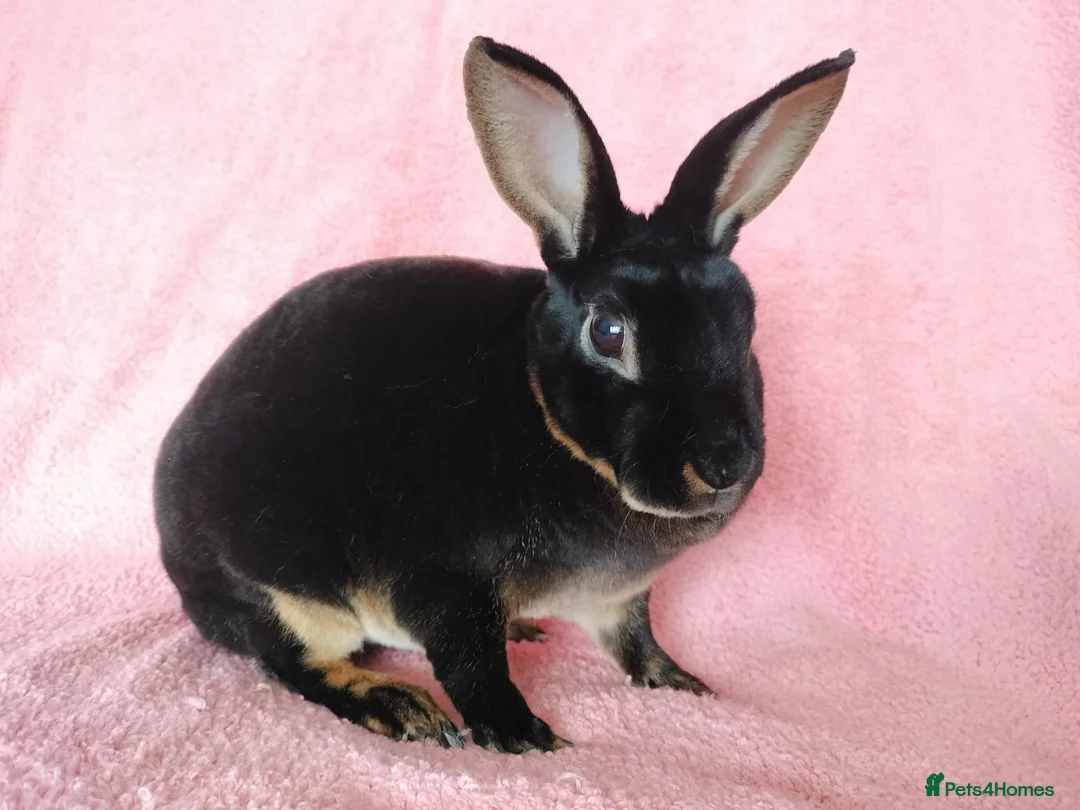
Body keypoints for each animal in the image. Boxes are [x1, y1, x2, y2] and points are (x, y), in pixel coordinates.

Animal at [154, 35, 853, 754]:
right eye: (608, 332)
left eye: (746, 320)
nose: (724, 465)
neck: (554, 429)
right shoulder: (443, 583)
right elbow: (473, 668)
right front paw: (529, 739)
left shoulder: (618, 600)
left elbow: (634, 640)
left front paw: (681, 682)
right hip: (287, 595)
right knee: (292, 661)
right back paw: (402, 707)